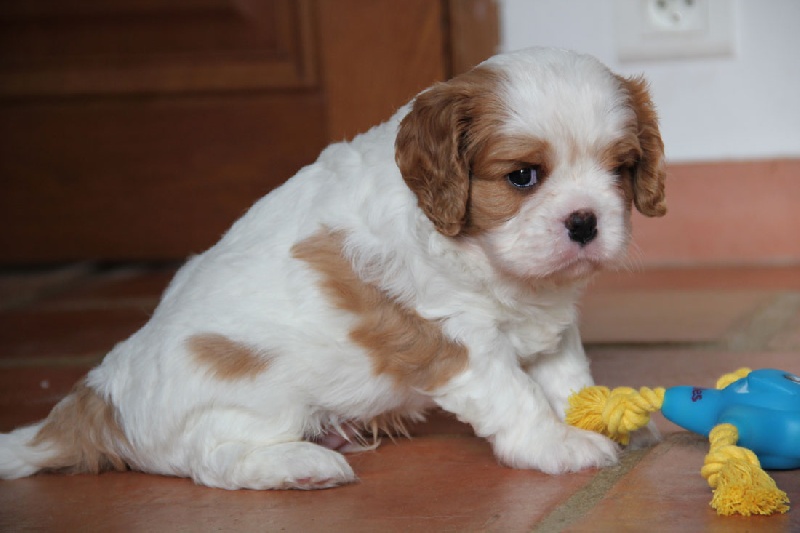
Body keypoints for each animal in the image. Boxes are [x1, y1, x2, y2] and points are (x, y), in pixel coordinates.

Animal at [0, 47, 664, 488]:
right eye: (523, 176)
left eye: (620, 169)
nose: (585, 223)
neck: (487, 260)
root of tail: (97, 404)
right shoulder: (454, 337)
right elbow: (516, 393)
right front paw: (557, 443)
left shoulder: (551, 324)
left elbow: (569, 376)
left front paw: (604, 416)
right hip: (243, 400)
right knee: (214, 461)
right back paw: (301, 463)